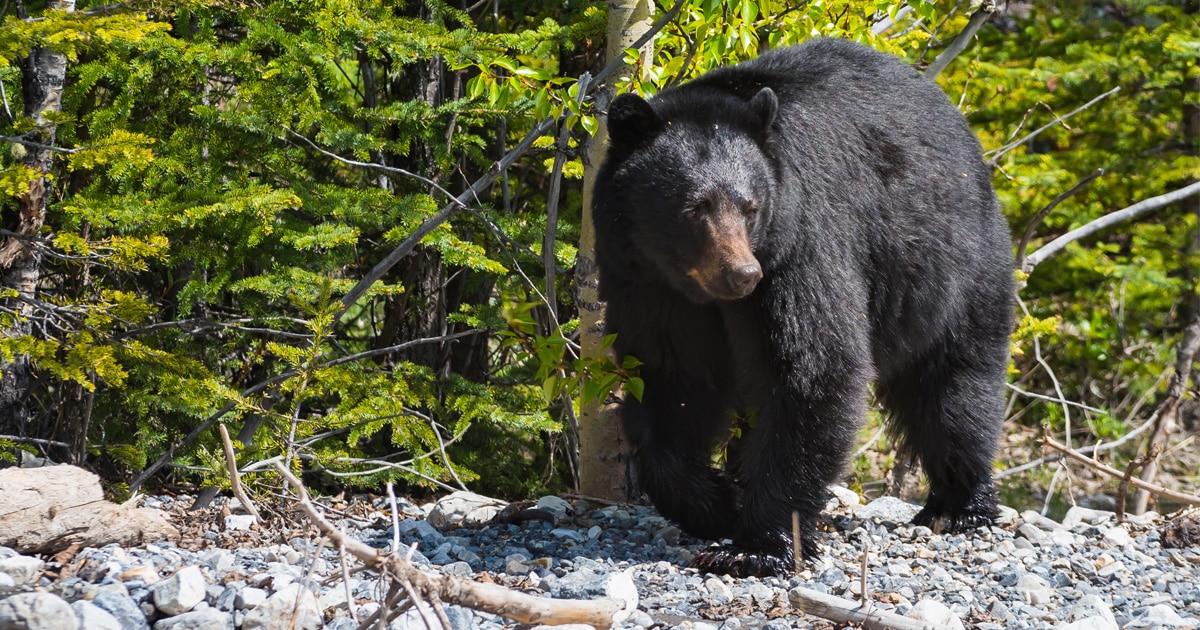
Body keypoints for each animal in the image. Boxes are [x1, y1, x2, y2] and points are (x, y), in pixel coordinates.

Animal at [590, 37, 1014, 578]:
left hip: (954, 267)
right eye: (695, 208)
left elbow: (812, 369)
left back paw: (960, 506)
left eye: (750, 207)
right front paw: (717, 506)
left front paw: (758, 545)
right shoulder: (649, 284)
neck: (701, 292)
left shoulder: (799, 248)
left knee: (955, 386)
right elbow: (673, 379)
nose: (743, 274)